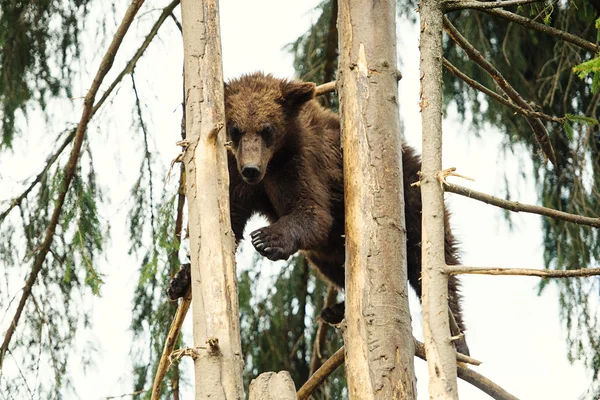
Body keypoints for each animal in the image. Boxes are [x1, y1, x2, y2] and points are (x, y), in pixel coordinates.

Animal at [169, 71, 468, 354]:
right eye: (235, 129)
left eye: (267, 129)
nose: (251, 168)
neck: (274, 161)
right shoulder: (237, 178)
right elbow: (228, 223)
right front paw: (181, 278)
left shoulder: (303, 164)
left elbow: (313, 212)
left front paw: (266, 238)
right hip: (329, 254)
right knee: (334, 266)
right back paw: (336, 309)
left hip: (414, 200)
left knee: (433, 265)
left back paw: (458, 339)